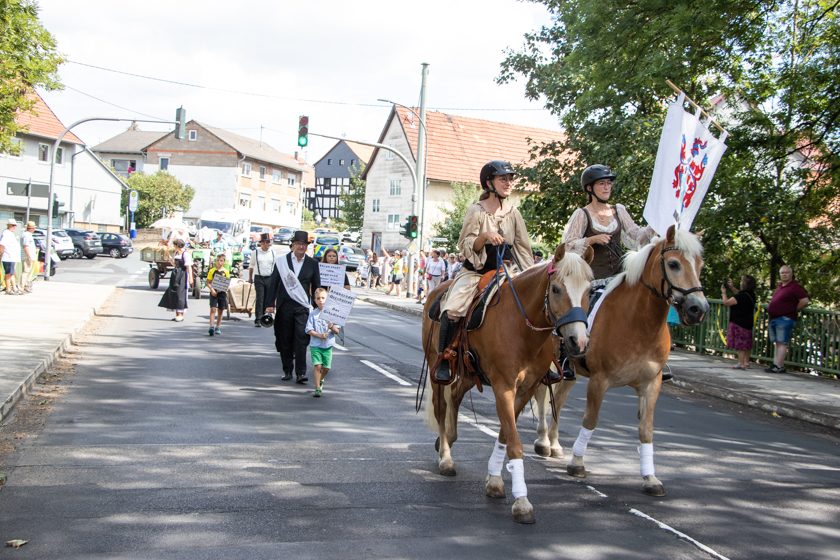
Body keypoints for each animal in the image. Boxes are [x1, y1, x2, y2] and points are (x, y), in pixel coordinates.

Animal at [420, 245, 592, 524]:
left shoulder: (525, 390)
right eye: (556, 289)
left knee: (454, 397)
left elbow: (505, 434)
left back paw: (450, 440)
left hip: (469, 374)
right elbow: (514, 442)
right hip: (438, 370)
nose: (578, 341)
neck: (522, 329)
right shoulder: (504, 388)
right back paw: (445, 456)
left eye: (589, 290)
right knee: (441, 407)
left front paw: (494, 481)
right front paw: (522, 502)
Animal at [536, 223, 704, 494]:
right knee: (542, 395)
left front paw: (650, 478)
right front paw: (577, 463)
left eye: (700, 264)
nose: (698, 309)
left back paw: (554, 443)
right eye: (674, 264)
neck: (638, 323)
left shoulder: (651, 383)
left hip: (570, 370)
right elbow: (590, 420)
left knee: (558, 400)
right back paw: (542, 440)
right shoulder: (599, 381)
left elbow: (646, 429)